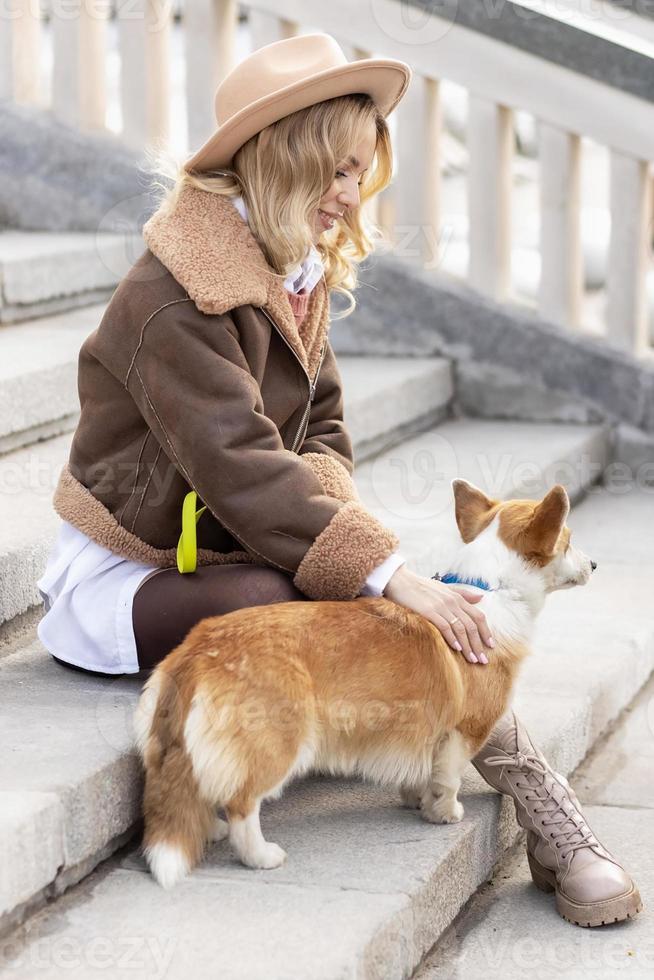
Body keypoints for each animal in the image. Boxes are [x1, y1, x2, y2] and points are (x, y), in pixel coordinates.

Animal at [132, 478, 596, 892]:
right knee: (242, 804)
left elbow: (420, 772)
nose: (594, 565)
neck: (492, 590)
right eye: (569, 540)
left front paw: (415, 800)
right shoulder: (463, 732)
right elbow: (447, 778)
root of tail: (199, 651)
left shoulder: (419, 733)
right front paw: (443, 814)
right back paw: (260, 855)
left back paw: (208, 829)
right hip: (277, 743)